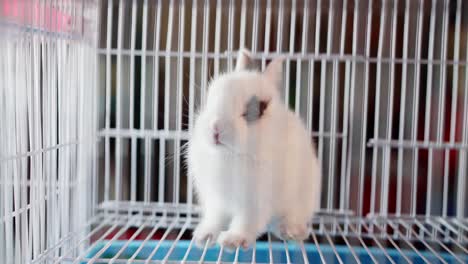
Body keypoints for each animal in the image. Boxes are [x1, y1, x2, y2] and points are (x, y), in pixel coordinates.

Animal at [186, 49, 322, 250]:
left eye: (260, 108)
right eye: (210, 97)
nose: (216, 128)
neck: (230, 156)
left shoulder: (253, 204)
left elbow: (246, 222)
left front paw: (232, 241)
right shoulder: (217, 201)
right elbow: (215, 219)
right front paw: (204, 237)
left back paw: (291, 231)